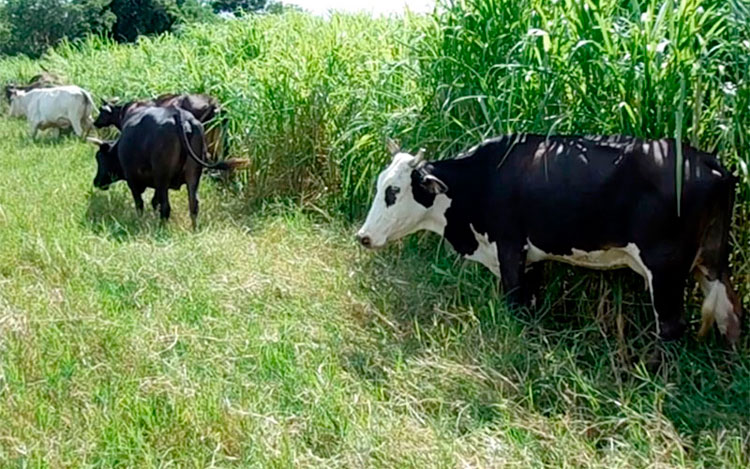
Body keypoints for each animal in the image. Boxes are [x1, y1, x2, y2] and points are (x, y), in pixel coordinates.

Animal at [89, 106, 245, 230]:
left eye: (99, 158)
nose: (96, 181)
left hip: (162, 176)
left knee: (166, 207)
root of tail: (179, 115)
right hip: (193, 175)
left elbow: (140, 204)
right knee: (193, 204)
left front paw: (139, 221)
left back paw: (161, 229)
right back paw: (194, 229)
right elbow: (154, 201)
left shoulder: (132, 180)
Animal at [358, 133, 748, 342]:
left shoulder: (509, 248)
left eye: (393, 191)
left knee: (671, 326)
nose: (363, 237)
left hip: (665, 268)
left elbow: (514, 305)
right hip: (711, 260)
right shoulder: (532, 259)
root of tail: (713, 163)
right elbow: (531, 305)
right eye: (380, 185)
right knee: (730, 313)